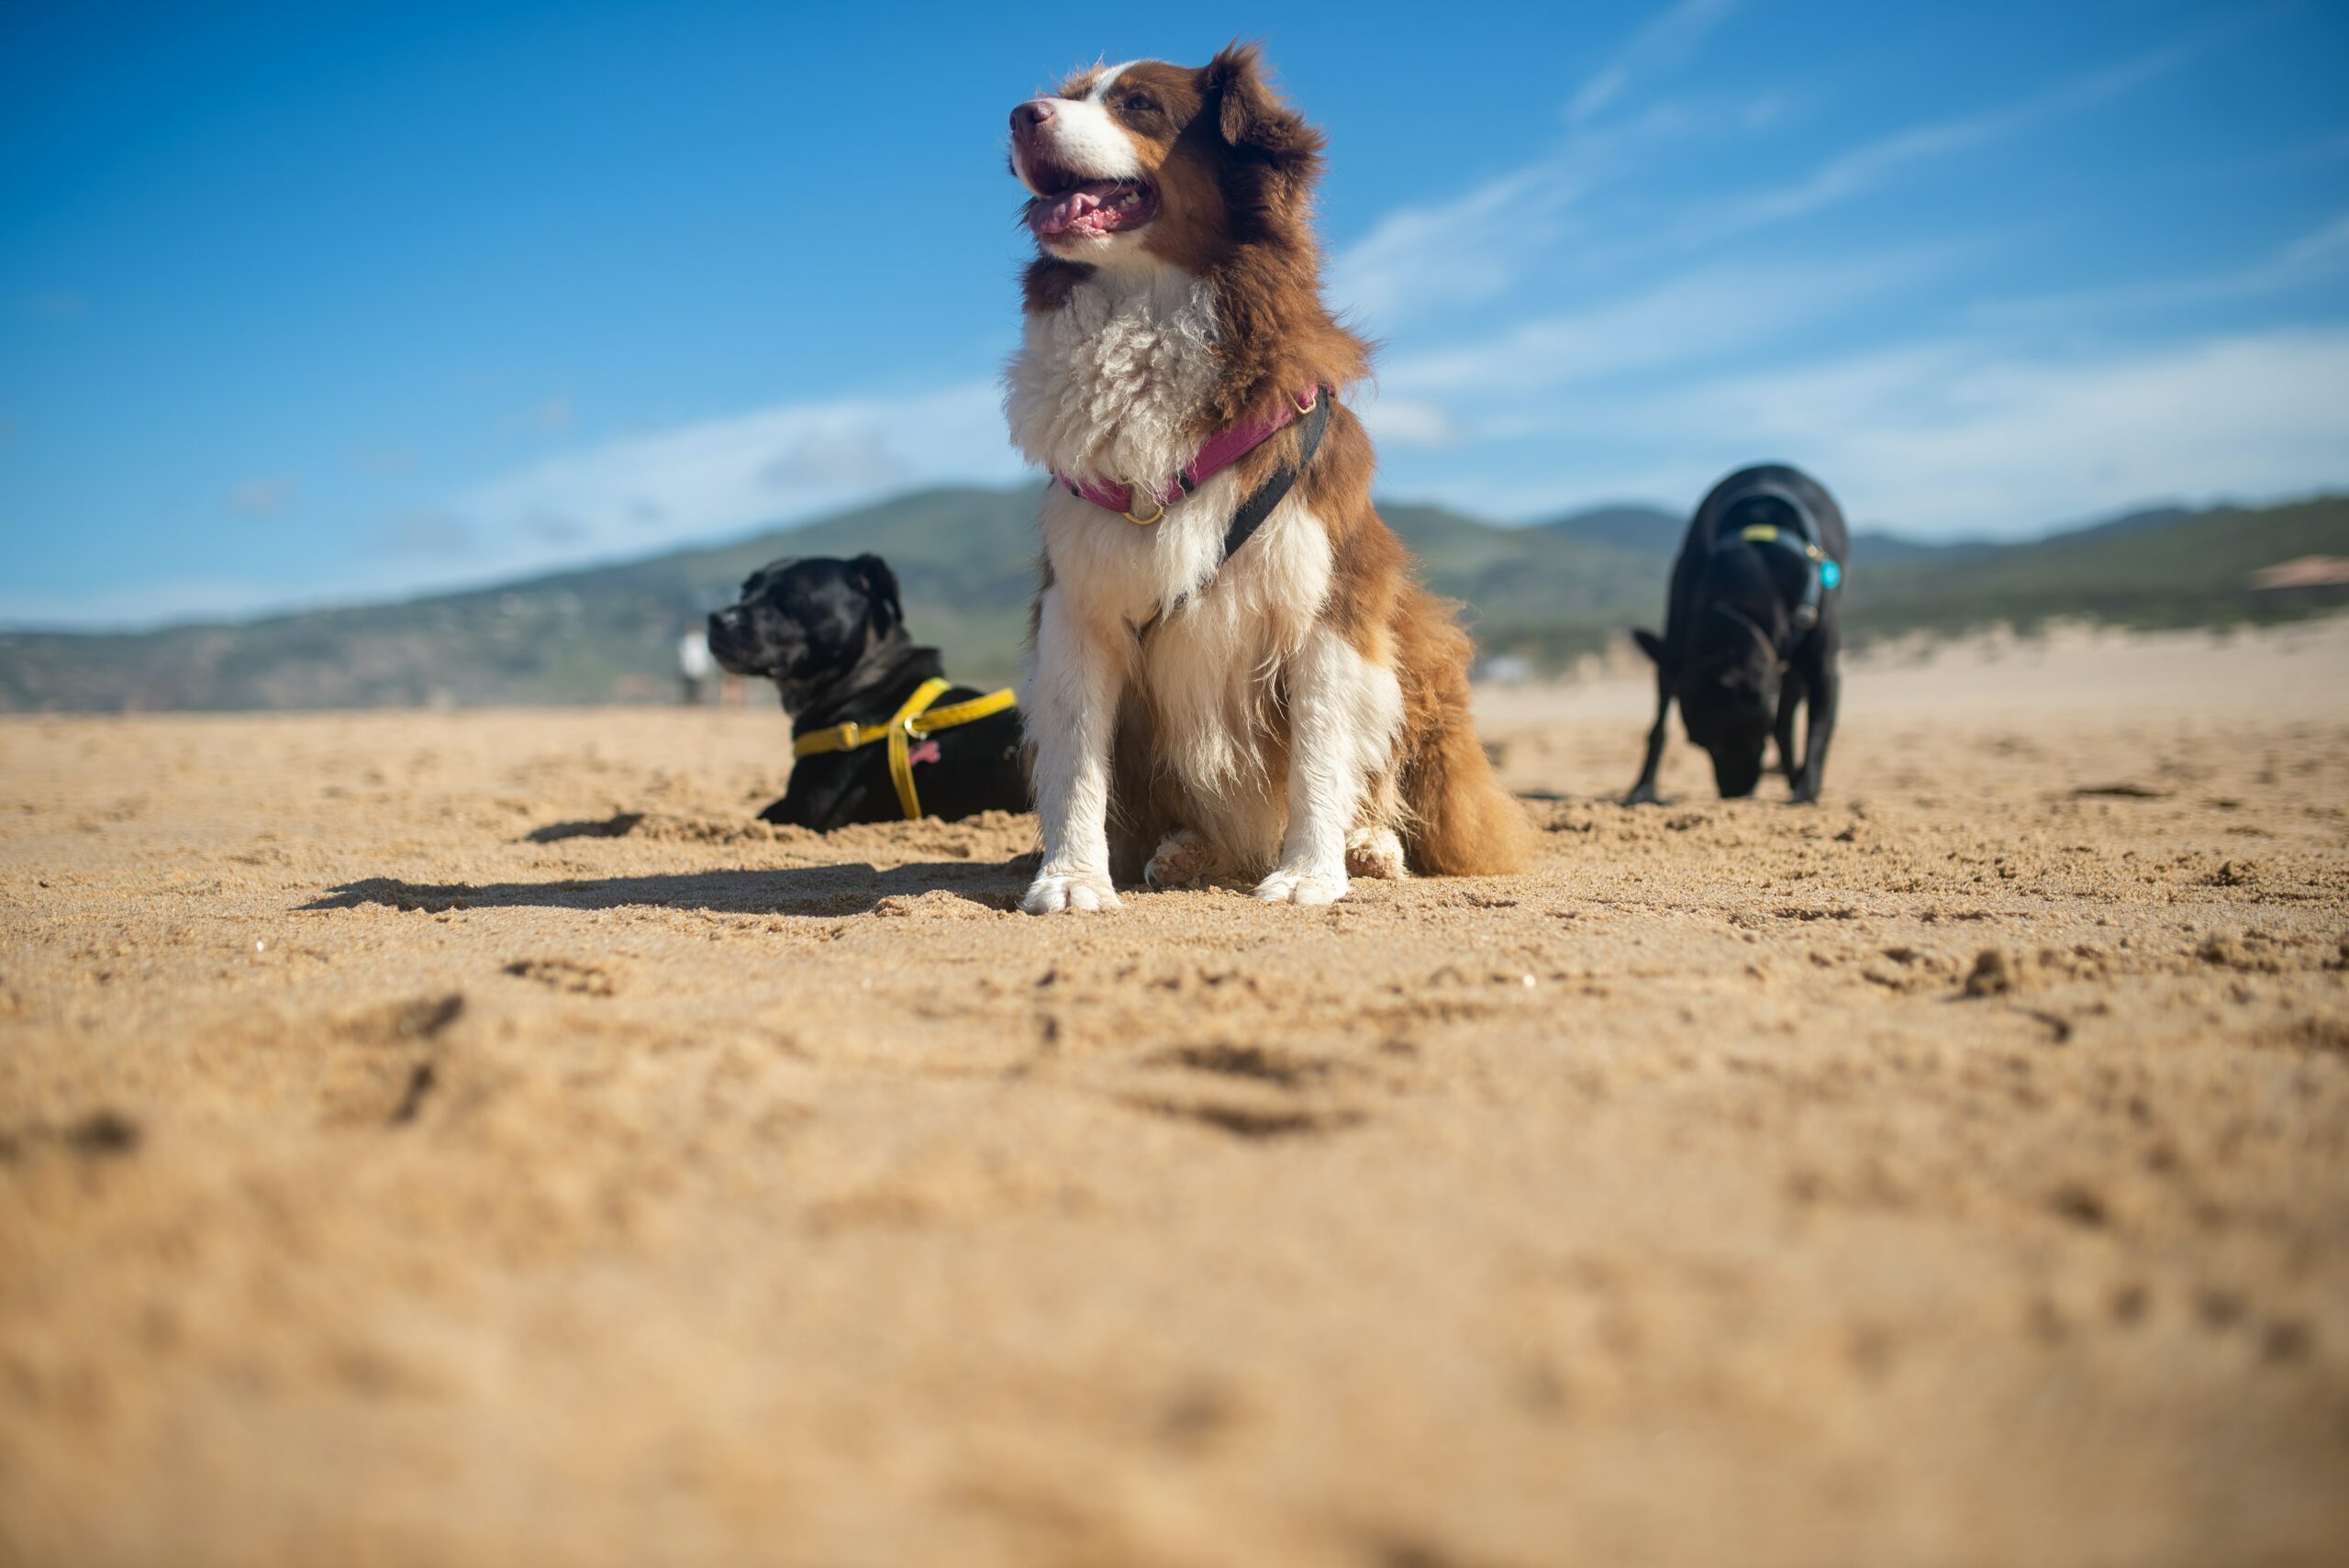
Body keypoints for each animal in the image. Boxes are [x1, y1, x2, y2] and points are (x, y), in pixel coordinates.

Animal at [699, 561, 1024, 840]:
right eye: (745, 591)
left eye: (790, 595)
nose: (716, 619)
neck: (864, 681)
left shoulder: (805, 812)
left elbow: (759, 816)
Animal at [1005, 42, 1521, 910]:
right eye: (1071, 94)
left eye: (1138, 105)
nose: (1018, 114)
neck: (1148, 309)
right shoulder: (1076, 603)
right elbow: (1076, 758)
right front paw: (1072, 878)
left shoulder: (1328, 596)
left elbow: (1319, 749)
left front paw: (1311, 873)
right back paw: (1188, 851)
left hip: (1415, 640)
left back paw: (1368, 845)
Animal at [1625, 462, 1842, 807]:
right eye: (1702, 743)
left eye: (1733, 736)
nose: (1731, 793)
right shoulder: (1675, 651)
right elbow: (1658, 727)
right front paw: (1643, 788)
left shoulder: (1824, 669)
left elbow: (1817, 729)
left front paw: (1806, 790)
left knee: (1787, 722)